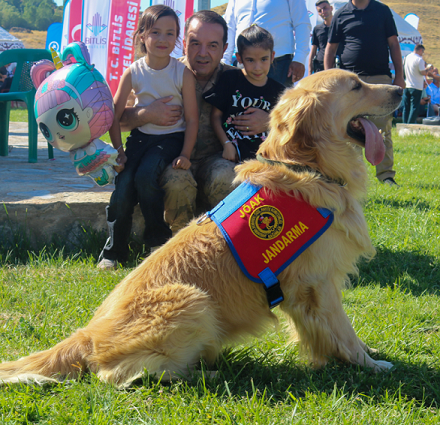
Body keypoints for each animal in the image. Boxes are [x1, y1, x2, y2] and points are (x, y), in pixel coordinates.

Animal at [0, 68, 402, 384]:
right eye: (356, 86)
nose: (400, 89)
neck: (307, 167)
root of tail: (87, 333)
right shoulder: (316, 283)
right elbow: (344, 331)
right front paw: (370, 363)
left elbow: (337, 333)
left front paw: (355, 355)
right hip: (193, 300)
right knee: (117, 374)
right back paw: (206, 372)